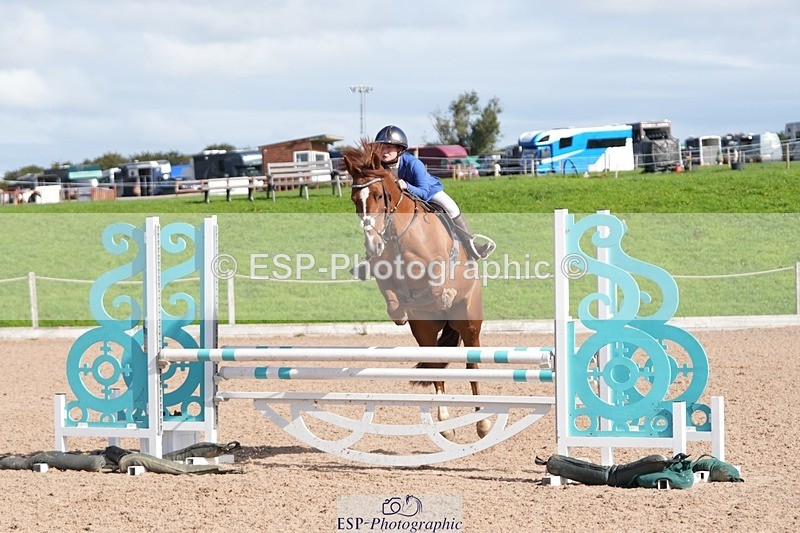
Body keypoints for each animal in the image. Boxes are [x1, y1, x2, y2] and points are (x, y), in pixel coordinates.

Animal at [342, 142, 490, 439]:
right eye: (355, 200)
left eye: (378, 195)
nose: (372, 245)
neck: (397, 233)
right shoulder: (383, 269)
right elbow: (391, 295)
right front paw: (399, 311)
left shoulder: (438, 263)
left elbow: (436, 282)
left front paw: (443, 295)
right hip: (424, 330)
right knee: (435, 368)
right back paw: (445, 424)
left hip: (469, 322)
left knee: (472, 365)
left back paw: (482, 423)